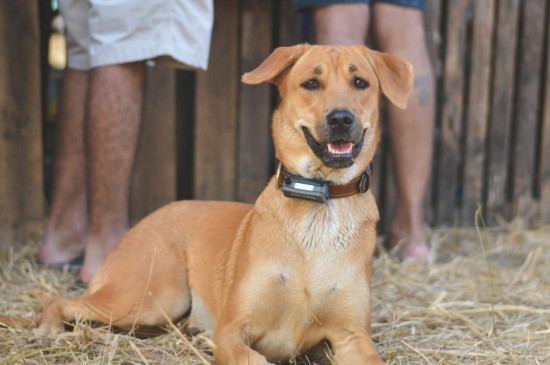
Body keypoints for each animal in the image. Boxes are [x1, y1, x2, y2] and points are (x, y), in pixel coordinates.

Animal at [9, 44, 414, 362]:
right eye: (311, 84)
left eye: (360, 83)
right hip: (150, 297)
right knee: (60, 301)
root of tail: (146, 220)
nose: (342, 119)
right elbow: (252, 358)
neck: (320, 202)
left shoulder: (352, 336)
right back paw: (48, 328)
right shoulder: (233, 329)